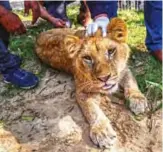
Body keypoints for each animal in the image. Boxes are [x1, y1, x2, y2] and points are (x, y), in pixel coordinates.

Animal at [35, 18, 148, 150]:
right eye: (87, 58)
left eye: (111, 51)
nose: (104, 78)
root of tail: (39, 35)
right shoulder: (82, 91)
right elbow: (92, 111)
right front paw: (102, 132)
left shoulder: (124, 69)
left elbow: (131, 83)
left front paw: (138, 100)